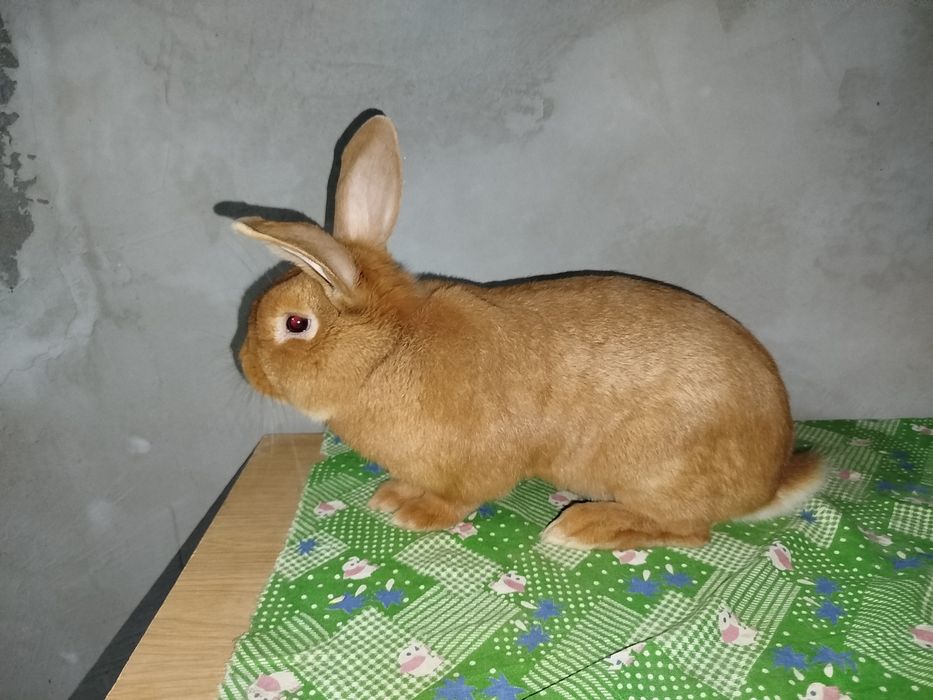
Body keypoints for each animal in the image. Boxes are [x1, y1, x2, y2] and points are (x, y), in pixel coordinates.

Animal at [233, 114, 824, 550]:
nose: (243, 363)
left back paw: (583, 527)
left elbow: (459, 500)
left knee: (690, 532)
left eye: (295, 324)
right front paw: (392, 497)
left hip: (659, 476)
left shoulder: (475, 467)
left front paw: (414, 514)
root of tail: (769, 480)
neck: (387, 353)